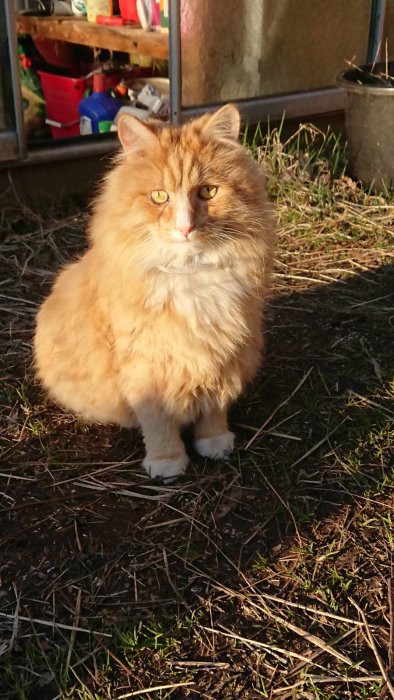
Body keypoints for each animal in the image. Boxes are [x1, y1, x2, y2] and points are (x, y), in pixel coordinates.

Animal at [33, 104, 274, 478]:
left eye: (208, 192)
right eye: (159, 197)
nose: (185, 227)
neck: (190, 272)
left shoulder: (226, 356)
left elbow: (214, 407)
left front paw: (214, 443)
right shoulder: (145, 366)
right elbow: (157, 422)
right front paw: (167, 463)